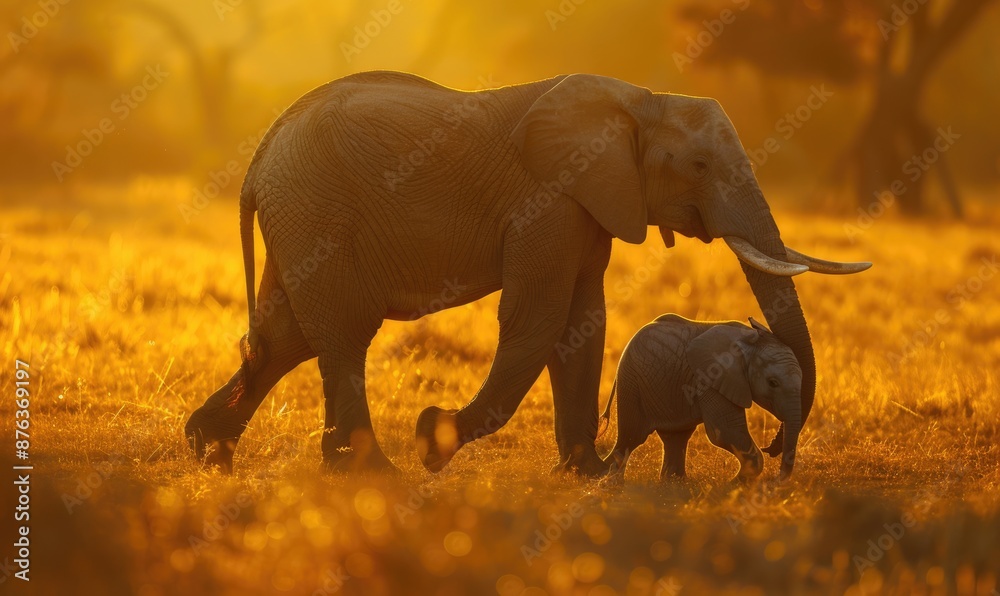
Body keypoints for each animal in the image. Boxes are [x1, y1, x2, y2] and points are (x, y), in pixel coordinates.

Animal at [599, 314, 802, 482]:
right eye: (773, 383)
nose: (775, 481)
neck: (749, 343)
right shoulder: (711, 377)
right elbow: (723, 431)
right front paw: (732, 485)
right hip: (632, 381)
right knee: (632, 435)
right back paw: (612, 482)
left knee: (676, 436)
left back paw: (674, 484)